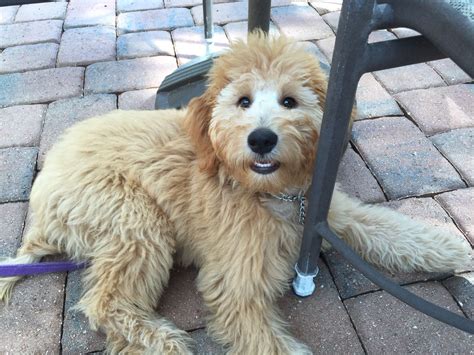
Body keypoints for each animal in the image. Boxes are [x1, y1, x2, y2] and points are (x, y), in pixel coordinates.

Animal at [0, 32, 470, 354]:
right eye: (243, 101)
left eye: (289, 101)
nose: (261, 139)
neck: (269, 193)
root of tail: (41, 202)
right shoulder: (236, 284)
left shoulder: (331, 210)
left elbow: (392, 229)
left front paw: (455, 250)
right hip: (135, 220)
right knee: (104, 302)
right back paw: (164, 341)